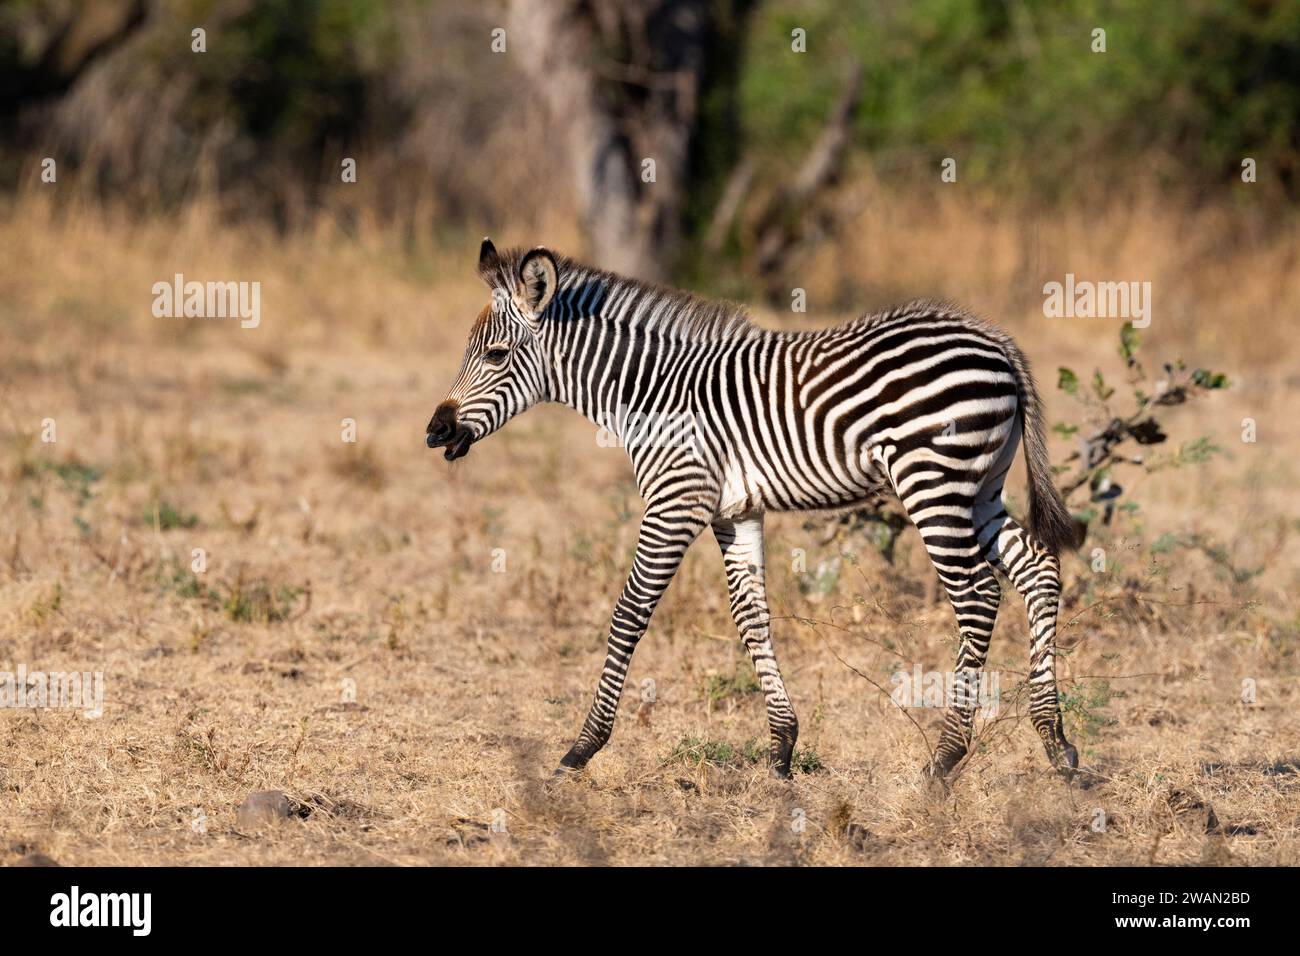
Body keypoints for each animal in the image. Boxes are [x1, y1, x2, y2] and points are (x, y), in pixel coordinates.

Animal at [426, 239, 1076, 785]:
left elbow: (629, 614)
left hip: (933, 483)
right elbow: (753, 619)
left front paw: (582, 749)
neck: (650, 393)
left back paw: (945, 758)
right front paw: (782, 748)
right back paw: (1055, 741)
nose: (436, 432)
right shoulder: (732, 512)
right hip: (980, 486)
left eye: (497, 355)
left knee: (978, 596)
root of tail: (995, 340)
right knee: (1038, 569)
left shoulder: (676, 500)